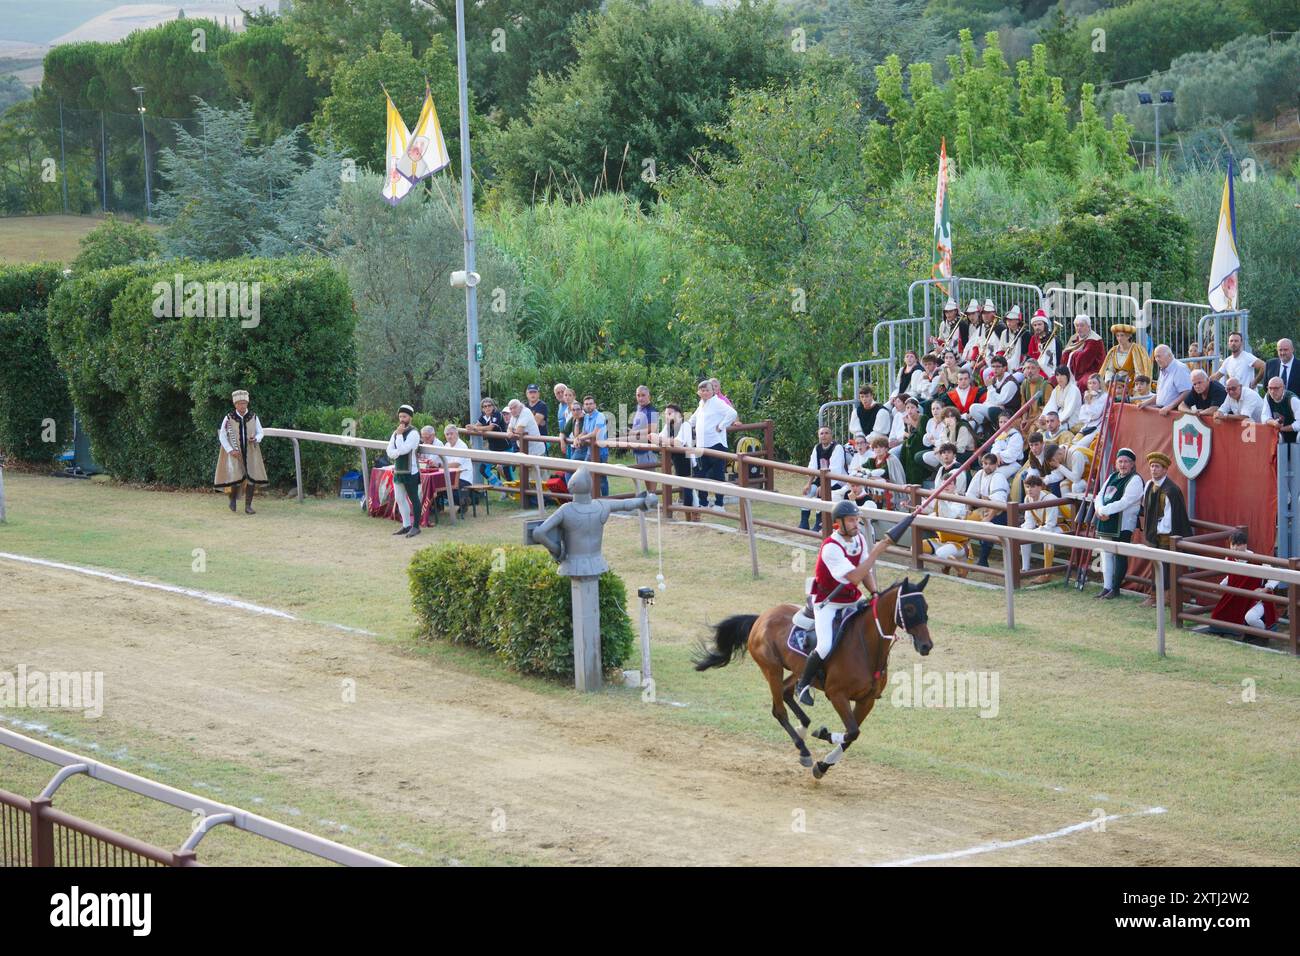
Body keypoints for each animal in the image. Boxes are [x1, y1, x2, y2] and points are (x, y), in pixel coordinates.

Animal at [696, 574, 930, 780]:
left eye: (926, 607)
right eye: (909, 608)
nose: (927, 646)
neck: (866, 647)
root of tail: (761, 617)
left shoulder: (867, 701)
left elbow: (851, 736)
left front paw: (824, 765)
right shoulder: (837, 695)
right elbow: (852, 731)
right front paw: (822, 734)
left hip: (798, 670)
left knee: (788, 690)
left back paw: (804, 725)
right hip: (772, 669)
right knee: (778, 710)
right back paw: (803, 750)